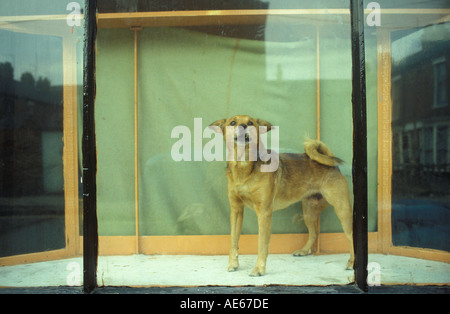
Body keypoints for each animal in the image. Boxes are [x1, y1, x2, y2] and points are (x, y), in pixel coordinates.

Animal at [209, 114, 354, 274]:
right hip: (308, 211)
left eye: (251, 123)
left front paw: (259, 269)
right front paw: (233, 264)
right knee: (314, 233)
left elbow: (262, 244)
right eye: (233, 122)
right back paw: (304, 251)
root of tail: (332, 165)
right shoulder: (236, 210)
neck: (244, 167)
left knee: (352, 236)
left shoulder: (264, 213)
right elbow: (233, 240)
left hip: (342, 210)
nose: (243, 126)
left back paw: (352, 263)